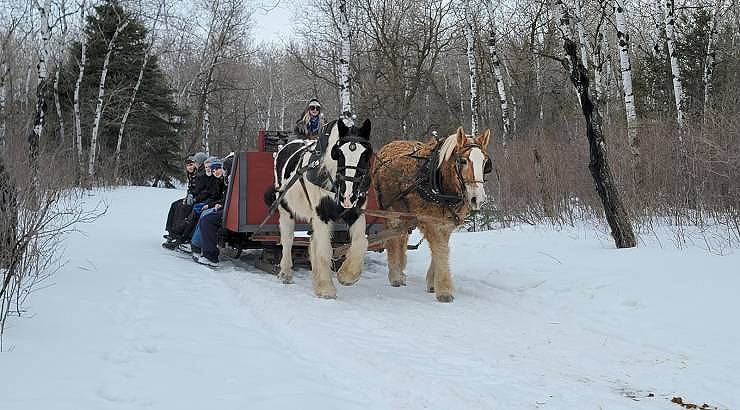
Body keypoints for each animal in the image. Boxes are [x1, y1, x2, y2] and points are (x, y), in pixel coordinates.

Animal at [265, 118, 373, 299]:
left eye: (365, 155)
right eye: (339, 153)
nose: (348, 196)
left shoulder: (355, 213)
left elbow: (360, 242)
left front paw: (347, 275)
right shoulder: (322, 215)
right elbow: (325, 249)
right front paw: (325, 288)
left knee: (312, 240)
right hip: (285, 208)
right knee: (287, 239)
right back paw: (286, 272)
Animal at [371, 126, 492, 302]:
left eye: (484, 163)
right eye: (463, 161)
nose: (478, 199)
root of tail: (391, 144)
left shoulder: (446, 224)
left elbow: (441, 249)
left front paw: (433, 282)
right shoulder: (430, 221)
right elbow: (440, 249)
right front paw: (444, 290)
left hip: (404, 214)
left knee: (400, 238)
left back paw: (400, 271)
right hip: (391, 212)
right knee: (393, 240)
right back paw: (395, 276)